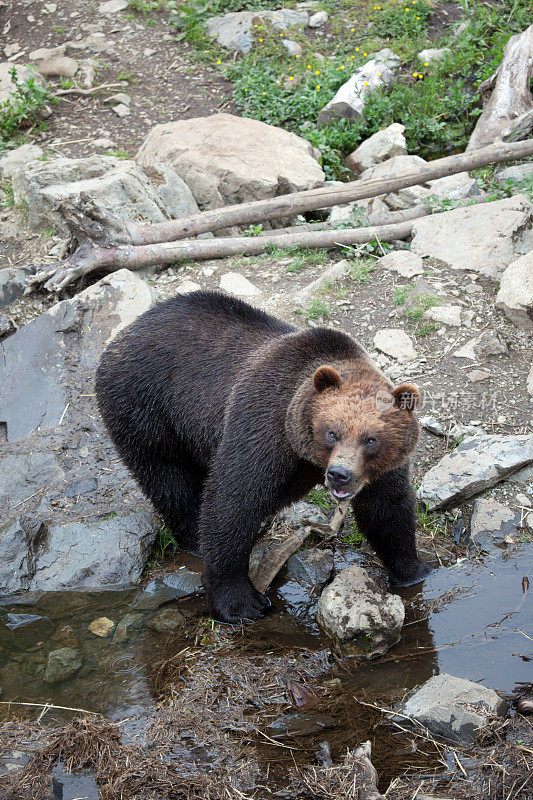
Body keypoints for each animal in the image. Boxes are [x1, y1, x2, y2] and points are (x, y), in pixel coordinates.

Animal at [94, 290, 428, 620]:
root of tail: (125, 333)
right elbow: (234, 499)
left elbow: (387, 508)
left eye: (371, 440)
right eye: (332, 432)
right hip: (146, 404)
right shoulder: (263, 422)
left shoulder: (380, 469)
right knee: (168, 476)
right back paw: (194, 537)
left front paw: (413, 571)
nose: (339, 474)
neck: (303, 449)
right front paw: (240, 602)